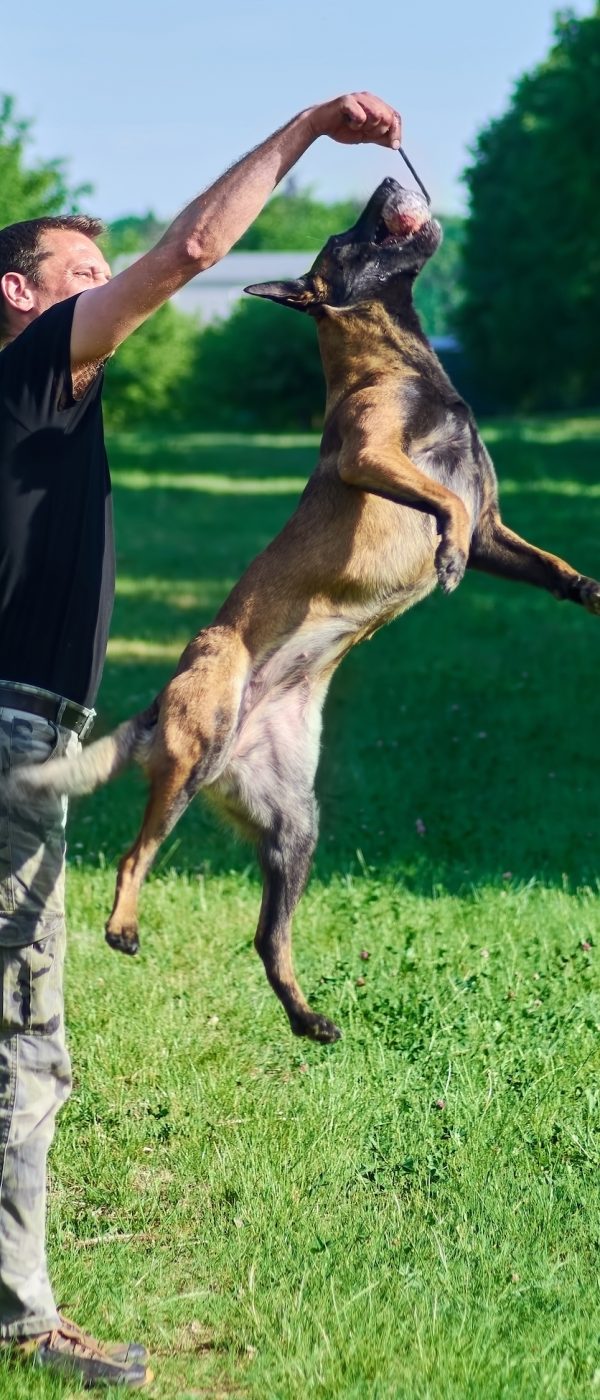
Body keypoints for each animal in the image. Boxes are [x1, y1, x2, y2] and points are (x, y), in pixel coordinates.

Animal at [12, 177, 598, 1041]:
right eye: (345, 236)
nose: (386, 183)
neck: (396, 364)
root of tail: (165, 708)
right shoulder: (372, 458)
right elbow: (445, 509)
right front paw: (445, 559)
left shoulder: (496, 529)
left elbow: (540, 559)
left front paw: (588, 589)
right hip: (198, 747)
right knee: (131, 854)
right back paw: (124, 925)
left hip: (294, 828)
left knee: (265, 936)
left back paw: (306, 1016)